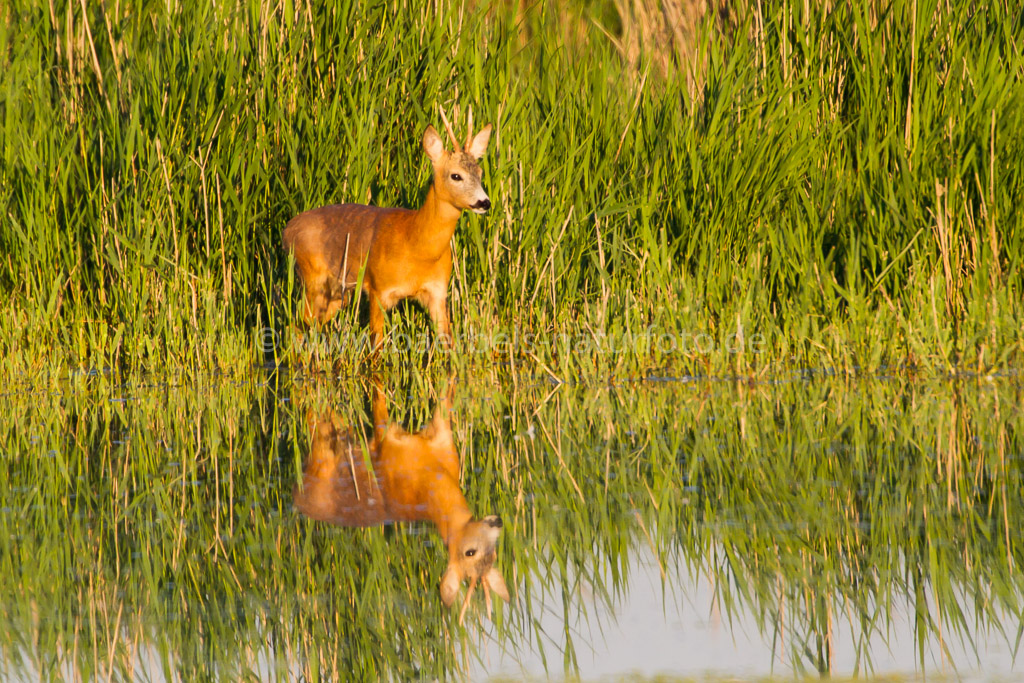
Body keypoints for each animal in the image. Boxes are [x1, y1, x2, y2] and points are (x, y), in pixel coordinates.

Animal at [282, 111, 493, 352]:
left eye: (480, 173)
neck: (416, 244)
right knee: (296, 326)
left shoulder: (438, 291)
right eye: (456, 176)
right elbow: (377, 345)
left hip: (337, 293)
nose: (484, 202)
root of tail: (287, 230)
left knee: (308, 325)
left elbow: (448, 343)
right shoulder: (378, 289)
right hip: (312, 278)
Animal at [292, 382, 507, 622]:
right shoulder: (386, 447)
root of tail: (296, 497)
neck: (428, 478)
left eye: (493, 554)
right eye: (470, 552)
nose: (497, 521)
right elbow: (379, 401)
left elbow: (446, 397)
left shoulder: (442, 435)